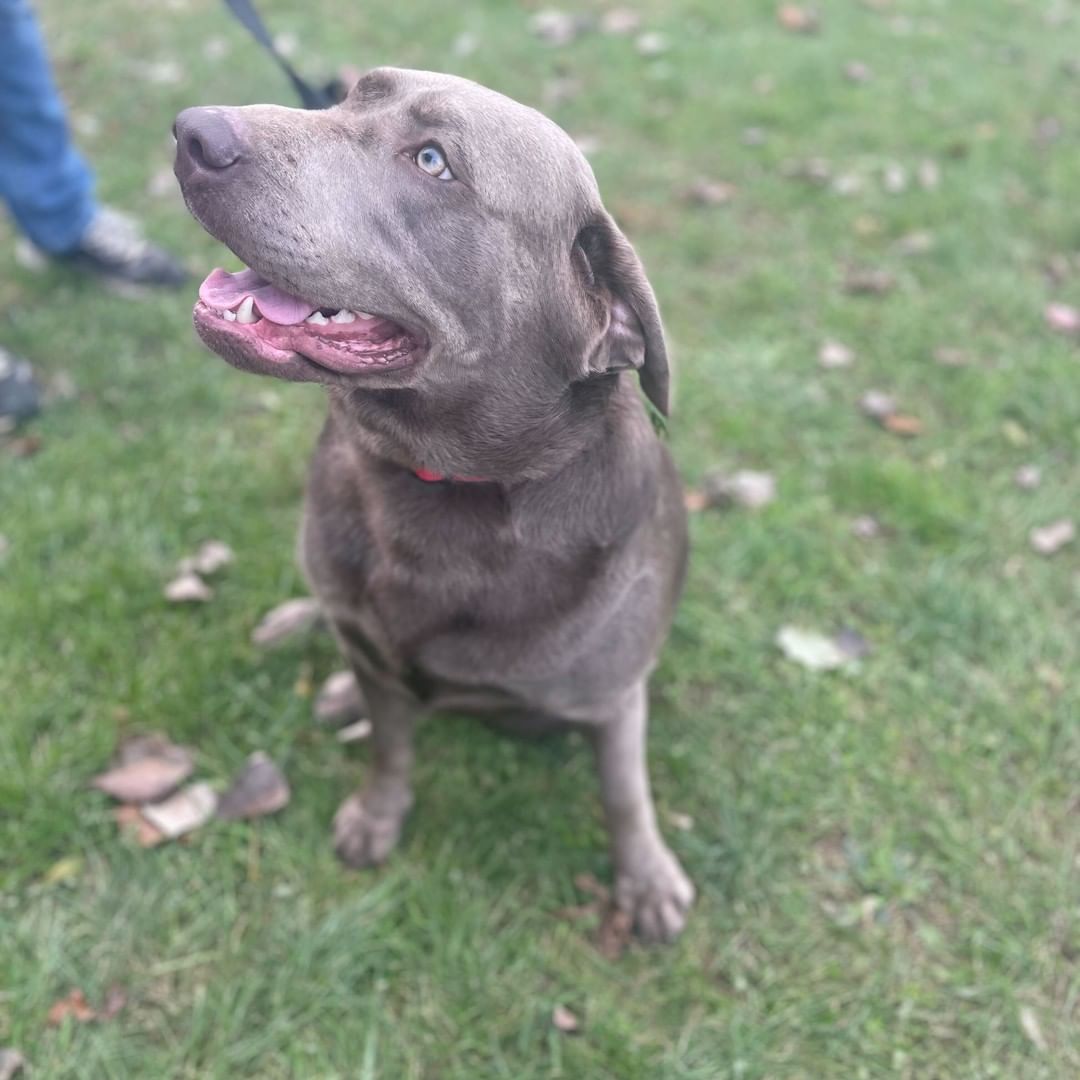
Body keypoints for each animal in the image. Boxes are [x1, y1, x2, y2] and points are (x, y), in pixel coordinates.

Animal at [168, 67, 691, 941]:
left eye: (434, 160)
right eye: (348, 95)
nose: (192, 132)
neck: (436, 488)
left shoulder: (615, 696)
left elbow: (623, 790)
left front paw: (645, 878)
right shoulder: (379, 655)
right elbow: (390, 748)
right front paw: (377, 816)